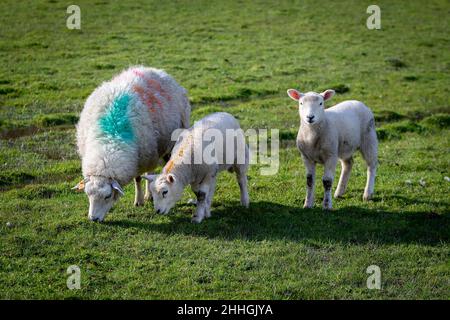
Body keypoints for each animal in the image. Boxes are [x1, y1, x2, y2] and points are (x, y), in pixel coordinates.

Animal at [72, 65, 192, 220]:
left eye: (107, 196)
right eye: (87, 194)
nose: (94, 219)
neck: (109, 141)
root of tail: (152, 69)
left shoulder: (140, 158)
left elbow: (138, 179)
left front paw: (139, 200)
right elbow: (140, 178)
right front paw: (141, 199)